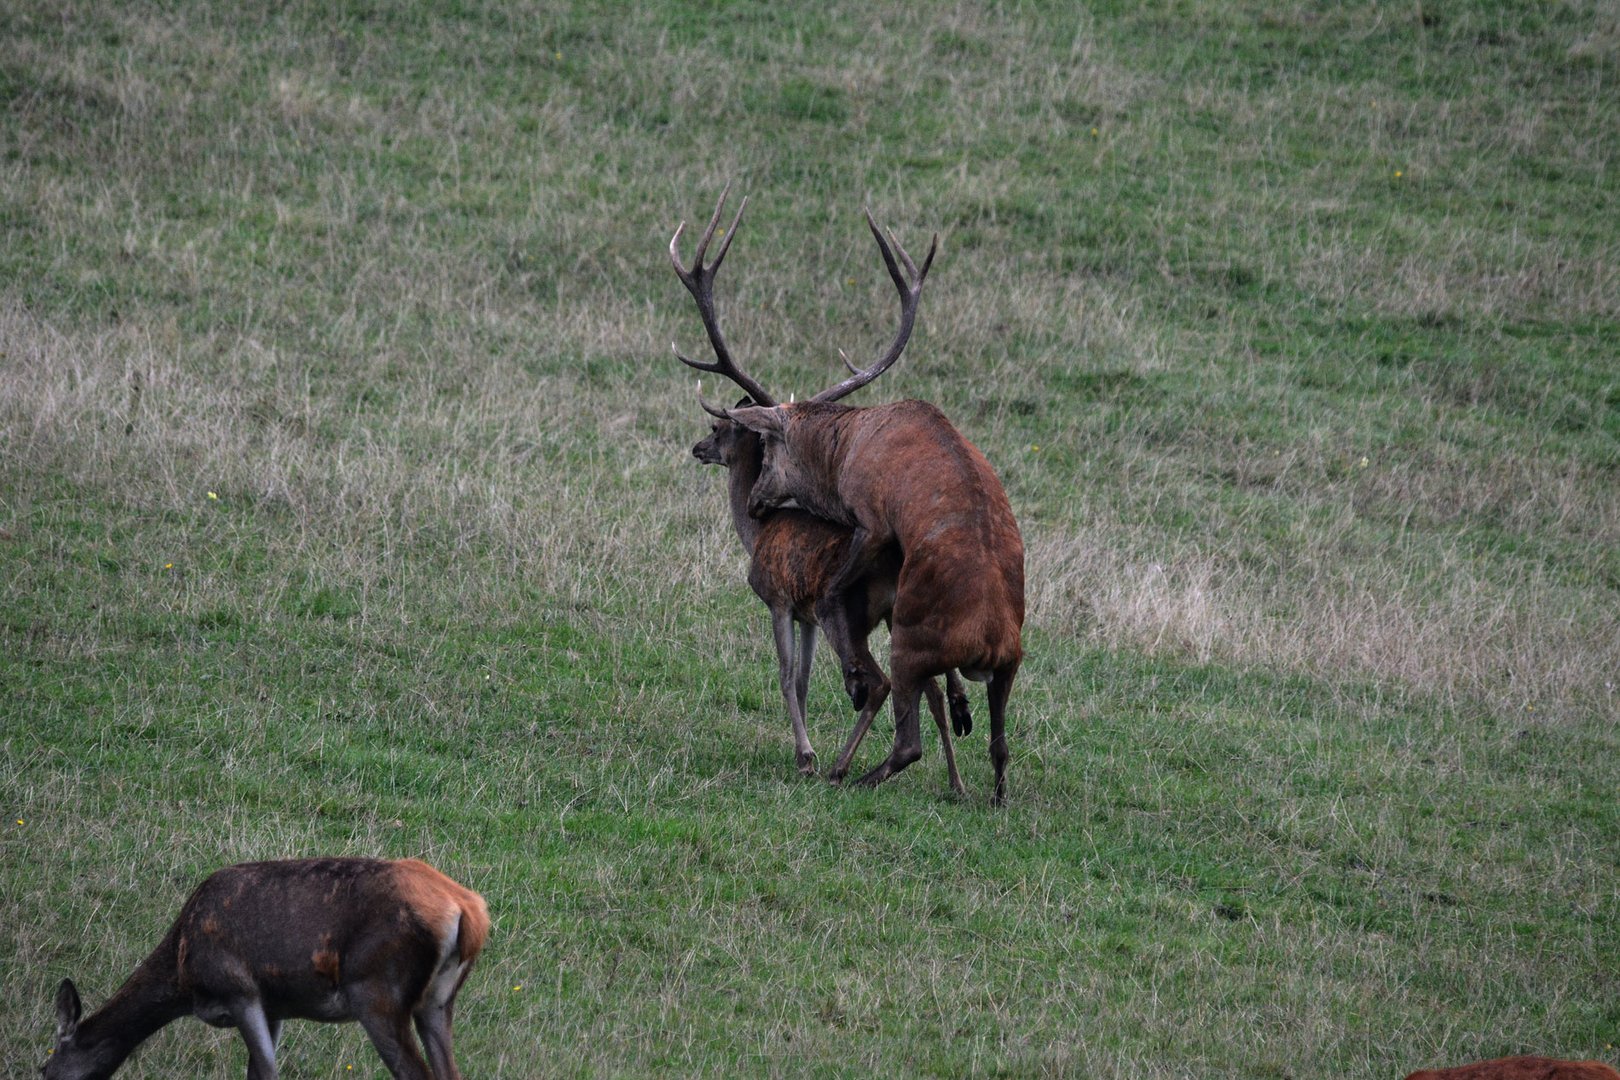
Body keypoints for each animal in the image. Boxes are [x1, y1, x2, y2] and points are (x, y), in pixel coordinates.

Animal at [41, 854, 486, 1075]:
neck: (183, 976)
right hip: (437, 1002)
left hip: (376, 993)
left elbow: (266, 1072)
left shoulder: (240, 990)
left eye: (46, 1069)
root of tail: (469, 911)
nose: (44, 1070)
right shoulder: (275, 1006)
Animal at [722, 210, 1023, 806]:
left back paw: (852, 771)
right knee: (1001, 744)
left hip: (914, 639)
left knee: (908, 735)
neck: (845, 451)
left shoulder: (872, 518)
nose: (757, 502)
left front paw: (850, 685)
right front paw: (957, 705)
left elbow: (833, 592)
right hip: (1011, 665)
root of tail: (989, 640)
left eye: (767, 448)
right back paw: (989, 783)